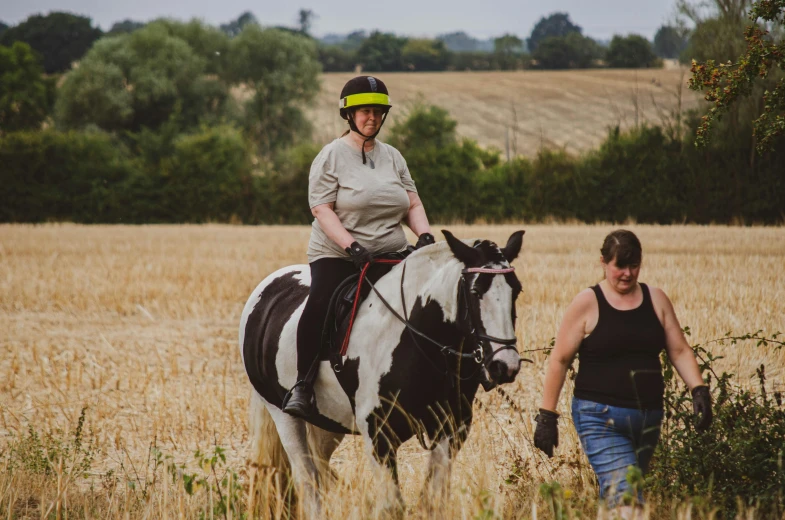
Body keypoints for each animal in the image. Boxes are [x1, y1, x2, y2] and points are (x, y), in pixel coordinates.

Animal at [237, 232, 520, 516]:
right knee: (307, 479)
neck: (417, 336)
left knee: (321, 468)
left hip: (327, 421)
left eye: (516, 290)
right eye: (475, 291)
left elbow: (432, 501)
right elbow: (392, 506)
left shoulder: (451, 428)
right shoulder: (378, 434)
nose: (505, 365)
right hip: (283, 414)